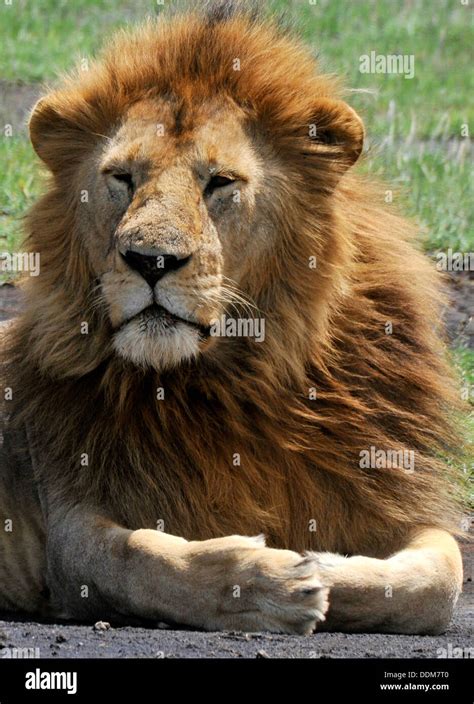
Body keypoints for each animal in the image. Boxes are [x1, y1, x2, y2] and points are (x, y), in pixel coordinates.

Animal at [0, 1, 466, 640]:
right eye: (122, 178)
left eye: (219, 182)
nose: (150, 260)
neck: (239, 381)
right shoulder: (70, 534)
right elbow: (145, 559)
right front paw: (268, 579)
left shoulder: (387, 490)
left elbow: (439, 581)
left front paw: (324, 563)